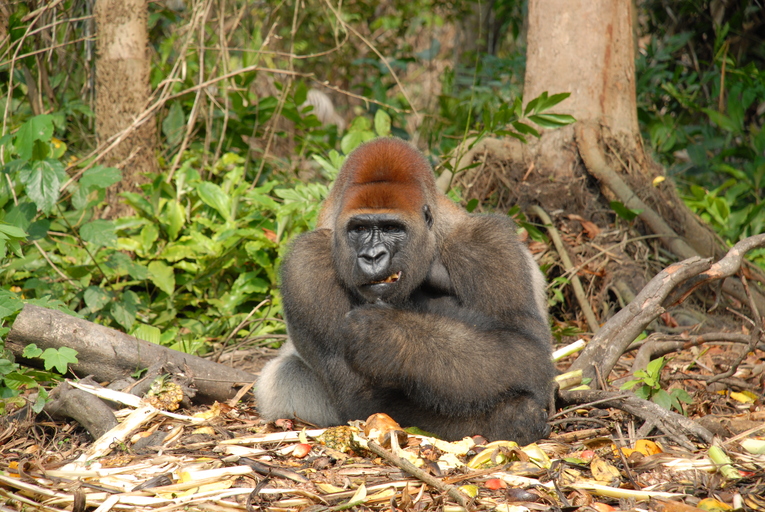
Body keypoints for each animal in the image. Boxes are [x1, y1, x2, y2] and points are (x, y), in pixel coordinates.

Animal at [256, 137, 556, 444]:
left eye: (391, 228)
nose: (372, 256)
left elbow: (525, 348)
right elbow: (361, 393)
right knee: (285, 374)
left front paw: (387, 336)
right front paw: (509, 418)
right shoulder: (306, 261)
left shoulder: (486, 242)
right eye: (359, 228)